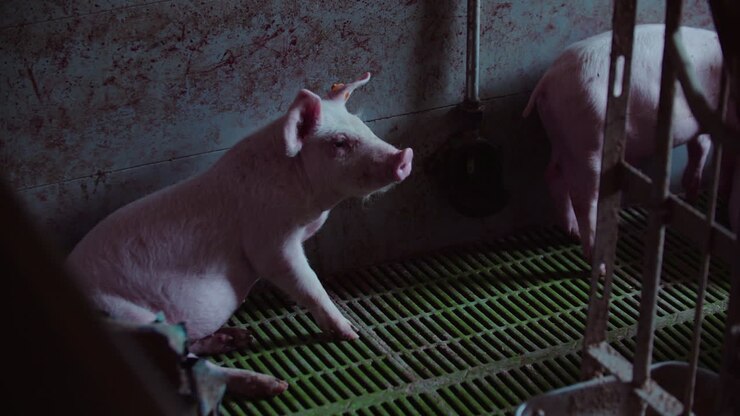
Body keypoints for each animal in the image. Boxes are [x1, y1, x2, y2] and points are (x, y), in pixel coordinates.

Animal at [65, 72, 413, 398]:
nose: (405, 156)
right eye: (339, 142)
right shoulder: (268, 241)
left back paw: (241, 338)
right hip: (129, 320)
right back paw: (273, 385)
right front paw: (349, 333)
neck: (309, 201)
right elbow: (307, 283)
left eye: (362, 125)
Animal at [522, 24, 734, 260]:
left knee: (553, 174)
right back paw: (596, 255)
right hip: (589, 140)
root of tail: (549, 79)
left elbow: (700, 149)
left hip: (561, 136)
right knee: (584, 198)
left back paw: (573, 232)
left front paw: (693, 199)